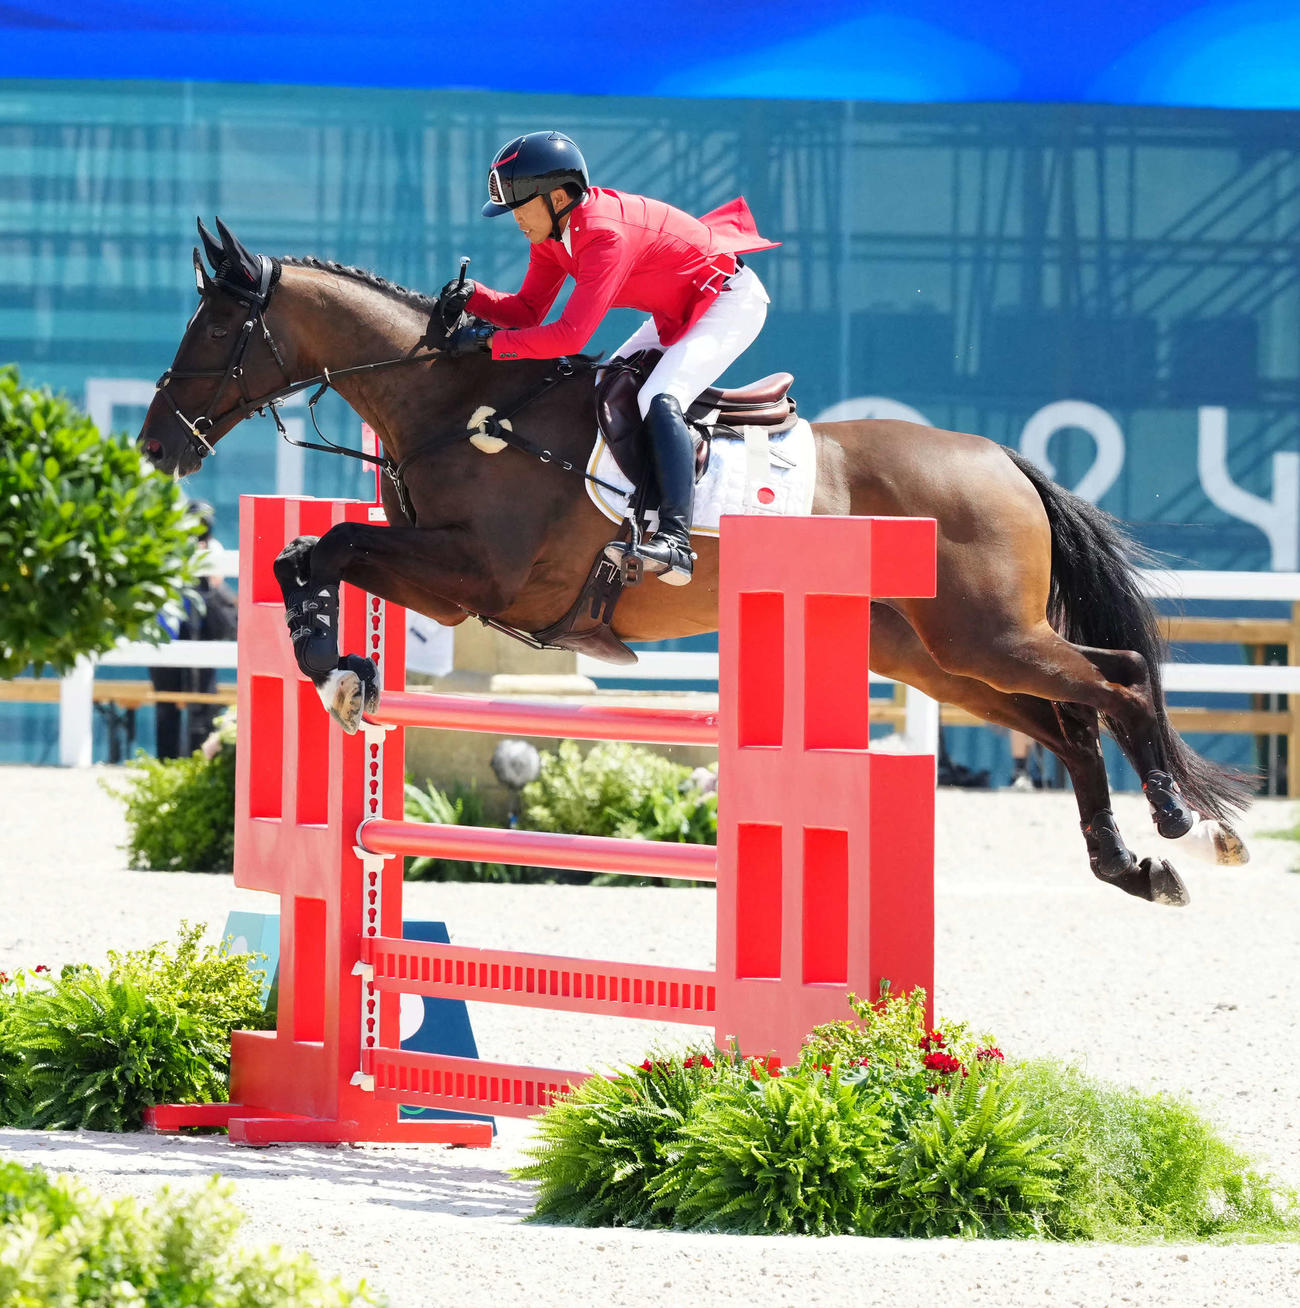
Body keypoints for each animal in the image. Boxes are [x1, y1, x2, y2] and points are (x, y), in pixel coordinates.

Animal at [139, 218, 1253, 908]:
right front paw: (341, 669)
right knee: (1068, 726)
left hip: (990, 634)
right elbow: (306, 553)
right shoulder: (451, 583)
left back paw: (1180, 819)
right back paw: (1130, 864)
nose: (156, 444)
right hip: (937, 657)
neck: (460, 407)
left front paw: (335, 670)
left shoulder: (477, 579)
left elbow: (326, 545)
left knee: (1119, 679)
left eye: (219, 323)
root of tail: (1003, 460)